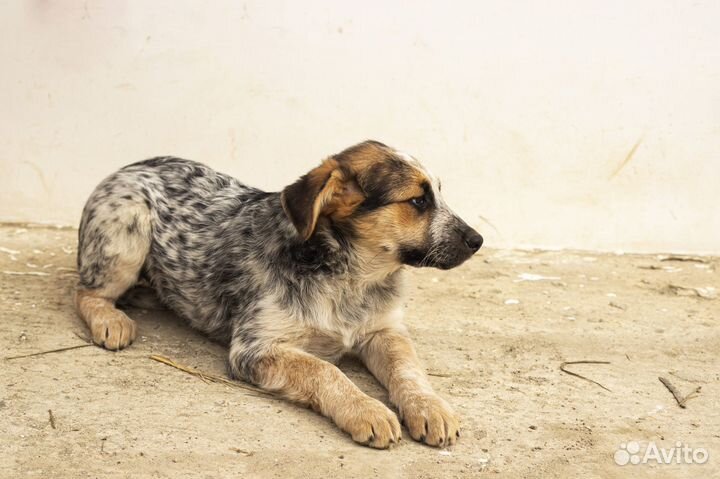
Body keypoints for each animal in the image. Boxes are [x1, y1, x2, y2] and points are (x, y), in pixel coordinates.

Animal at [76, 142, 484, 450]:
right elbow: (324, 370)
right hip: (125, 235)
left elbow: (408, 369)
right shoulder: (255, 348)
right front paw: (365, 410)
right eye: (418, 201)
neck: (350, 279)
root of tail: (130, 165)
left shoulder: (385, 331)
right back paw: (111, 319)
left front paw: (429, 406)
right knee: (86, 291)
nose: (478, 240)